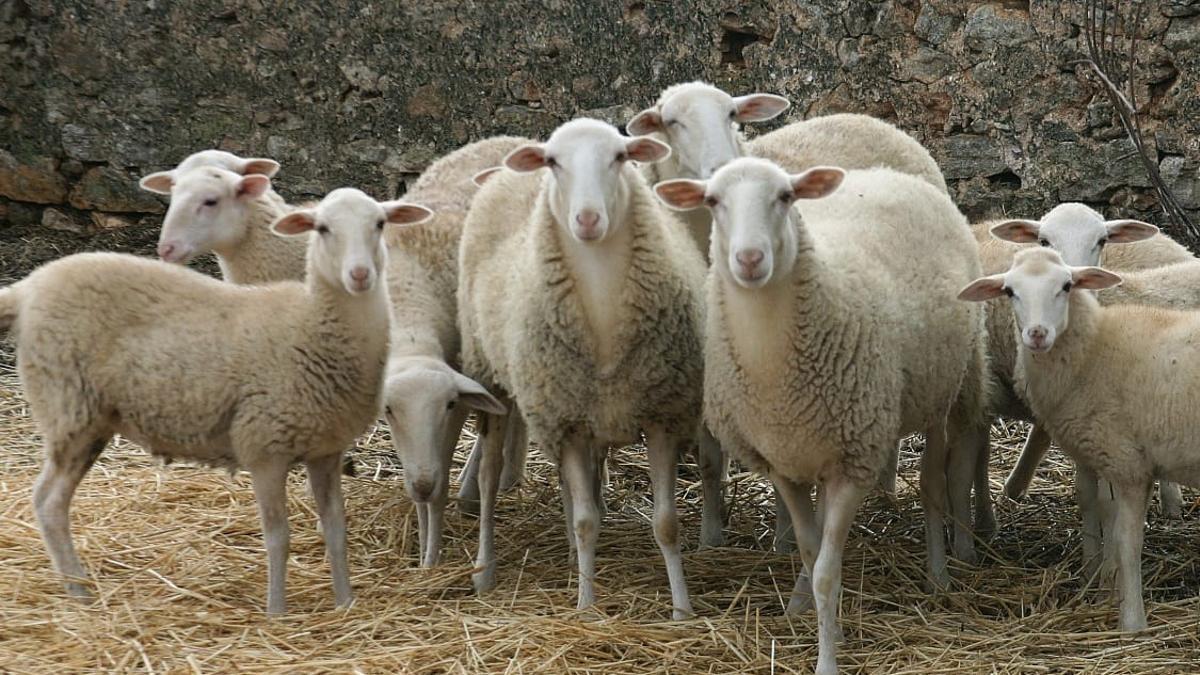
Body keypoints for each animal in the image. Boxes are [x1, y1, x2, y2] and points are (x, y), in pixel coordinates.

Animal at [0, 177, 432, 614]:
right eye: (323, 228)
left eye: (379, 224)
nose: (359, 275)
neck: (312, 324)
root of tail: (28, 288)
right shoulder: (263, 446)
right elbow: (278, 537)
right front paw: (277, 612)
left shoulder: (325, 449)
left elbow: (335, 529)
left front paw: (345, 603)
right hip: (69, 407)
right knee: (48, 503)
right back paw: (79, 592)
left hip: (88, 417)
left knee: (51, 500)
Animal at [378, 136, 529, 568]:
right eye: (388, 410)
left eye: (444, 406)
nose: (422, 484)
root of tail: (518, 139)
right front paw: (422, 550)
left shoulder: (459, 394)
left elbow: (441, 477)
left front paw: (432, 557)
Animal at [457, 118, 716, 619]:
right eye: (554, 162)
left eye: (619, 157)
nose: (588, 219)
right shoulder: (568, 422)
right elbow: (585, 522)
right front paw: (586, 605)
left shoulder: (660, 415)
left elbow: (665, 523)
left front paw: (682, 609)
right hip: (493, 380)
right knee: (487, 476)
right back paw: (484, 569)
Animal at [655, 159, 987, 675]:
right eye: (712, 200)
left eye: (785, 197)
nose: (750, 259)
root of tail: (888, 172)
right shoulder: (783, 462)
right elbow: (812, 553)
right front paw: (823, 621)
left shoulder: (855, 461)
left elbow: (828, 571)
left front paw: (828, 657)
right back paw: (798, 601)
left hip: (941, 388)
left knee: (934, 482)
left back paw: (938, 575)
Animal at [958, 247, 1200, 632]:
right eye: (1010, 291)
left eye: (1066, 286)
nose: (1037, 333)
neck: (1094, 348)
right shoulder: (1103, 455)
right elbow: (1098, 511)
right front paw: (1102, 588)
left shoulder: (1127, 462)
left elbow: (1127, 542)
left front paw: (1131, 622)